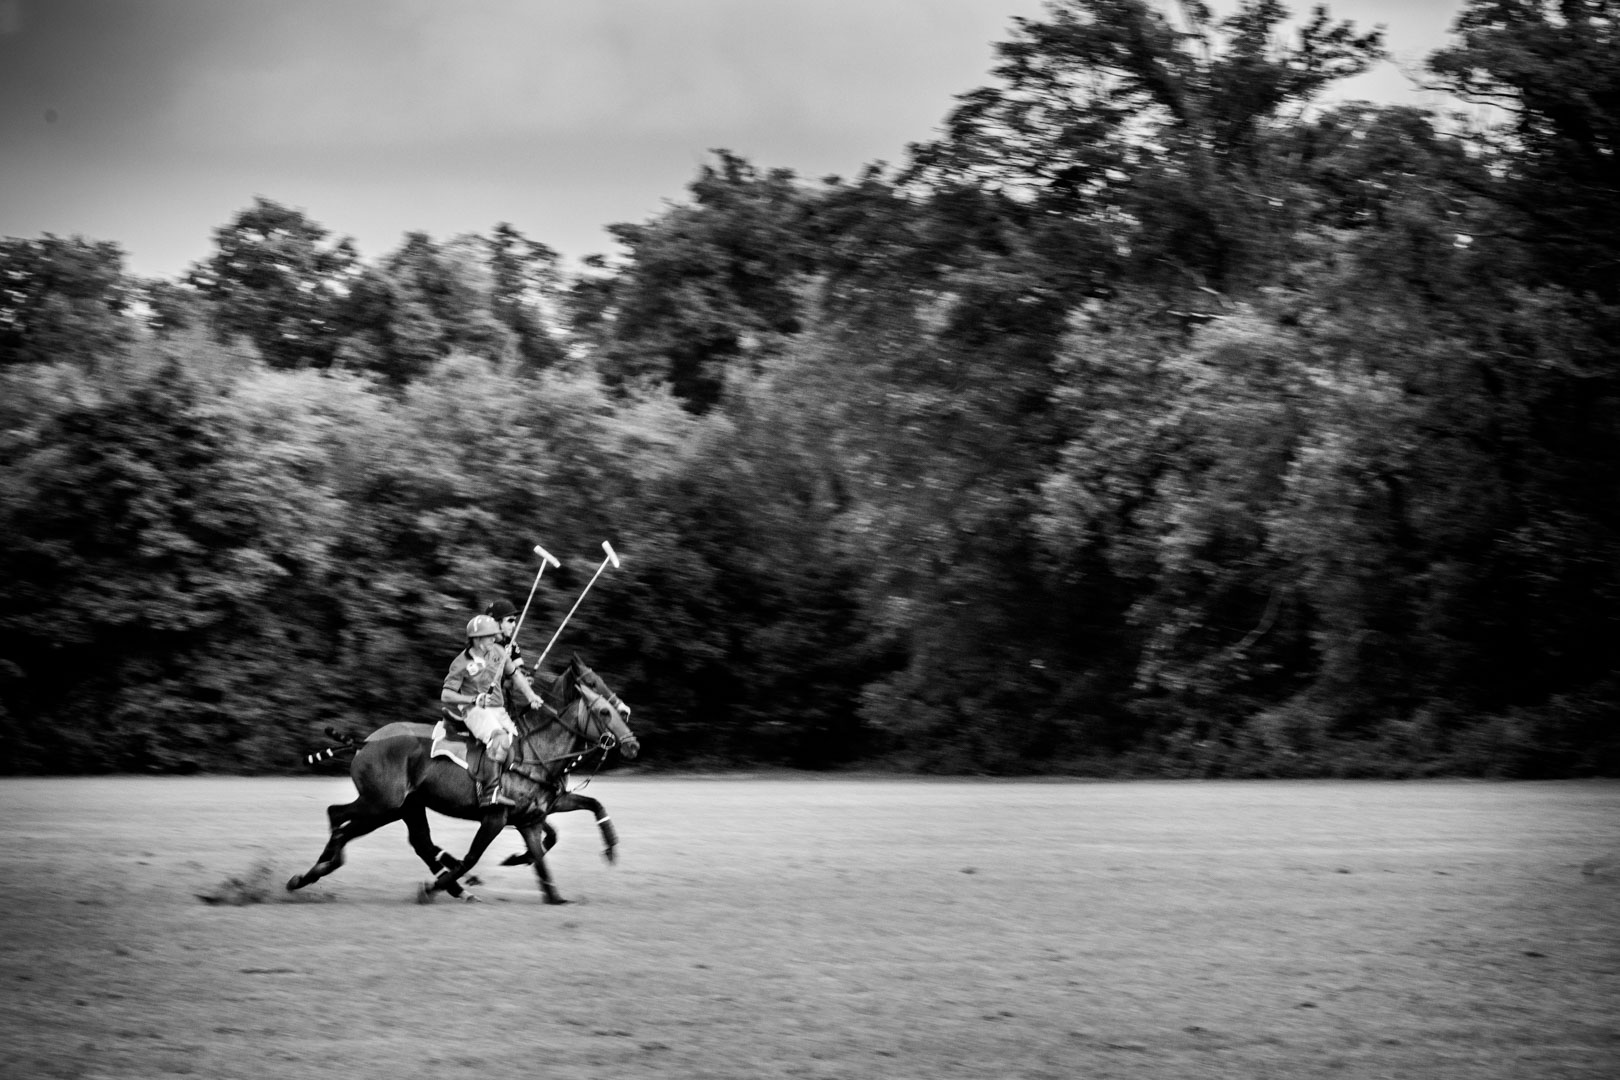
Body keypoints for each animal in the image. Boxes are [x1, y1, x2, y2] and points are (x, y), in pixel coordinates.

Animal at [288, 654, 641, 906]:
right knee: (339, 816)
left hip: (403, 807)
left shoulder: (533, 816)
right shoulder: (496, 817)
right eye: (603, 710)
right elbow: (475, 856)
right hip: (382, 803)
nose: (632, 743)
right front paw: (432, 888)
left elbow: (568, 829)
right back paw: (320, 867)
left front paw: (605, 852)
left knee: (414, 840)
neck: (536, 750)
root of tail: (364, 742)